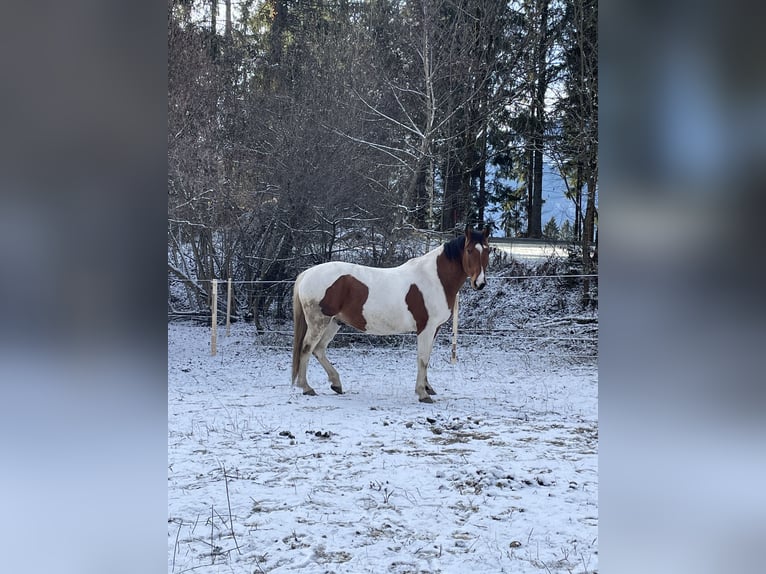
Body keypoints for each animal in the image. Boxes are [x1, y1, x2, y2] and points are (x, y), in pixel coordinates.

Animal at [294, 226, 492, 404]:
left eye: (488, 251)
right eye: (469, 250)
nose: (480, 283)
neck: (435, 279)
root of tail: (307, 273)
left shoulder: (435, 329)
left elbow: (427, 357)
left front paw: (428, 387)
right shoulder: (426, 328)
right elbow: (422, 358)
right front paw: (422, 393)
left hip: (334, 322)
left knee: (319, 349)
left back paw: (336, 384)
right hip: (319, 321)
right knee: (307, 348)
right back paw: (306, 387)